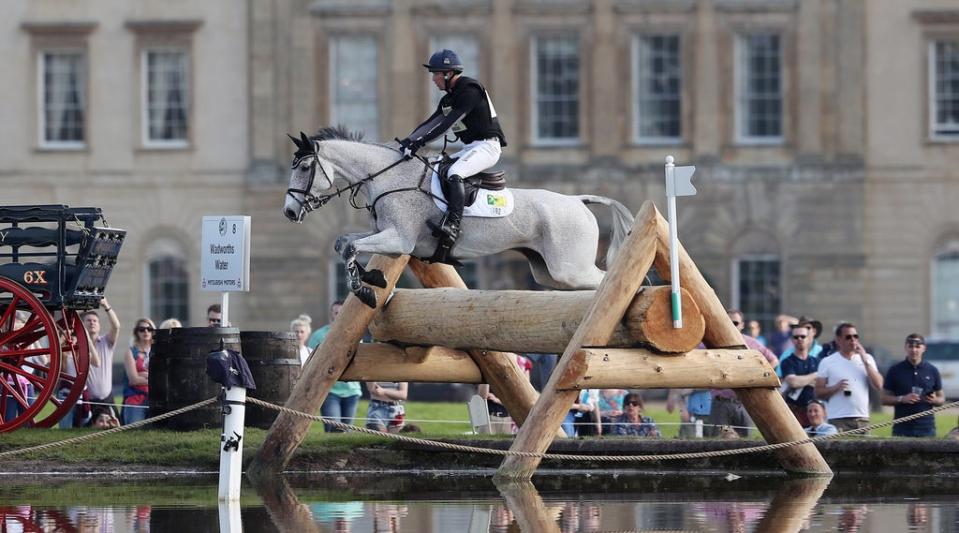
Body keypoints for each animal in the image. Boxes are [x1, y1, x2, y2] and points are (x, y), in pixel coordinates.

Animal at [282, 125, 632, 308]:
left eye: (304, 167)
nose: (289, 212)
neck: (387, 176)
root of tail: (577, 200)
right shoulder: (386, 236)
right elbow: (344, 243)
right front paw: (373, 279)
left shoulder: (400, 240)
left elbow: (352, 247)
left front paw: (365, 289)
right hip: (548, 272)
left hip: (569, 268)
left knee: (607, 281)